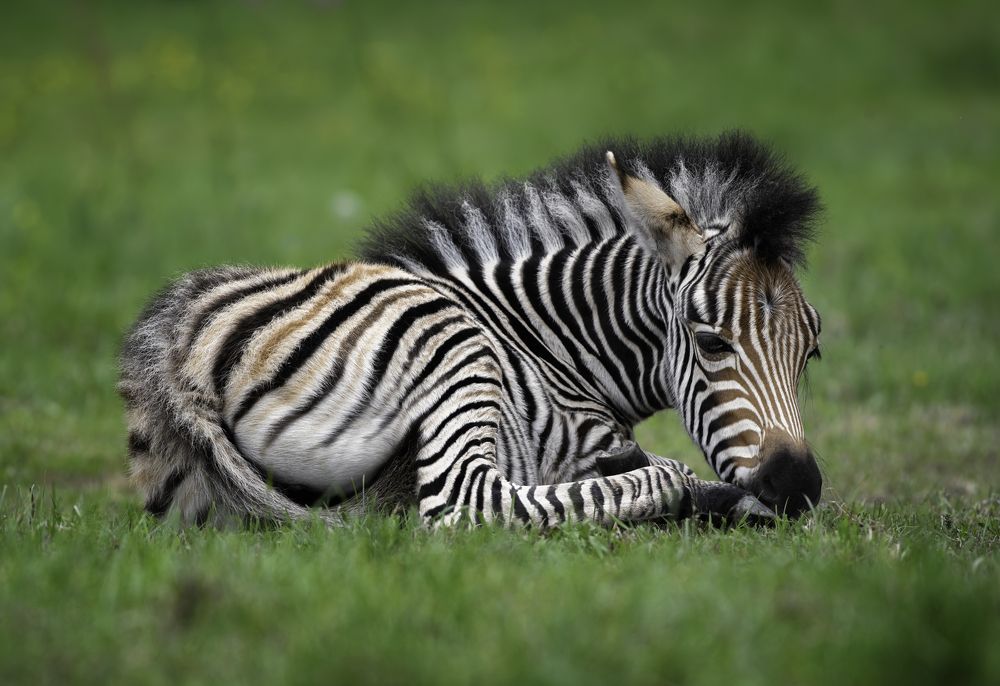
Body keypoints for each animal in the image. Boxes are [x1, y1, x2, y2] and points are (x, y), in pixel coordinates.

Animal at [118, 131, 824, 528]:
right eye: (711, 342)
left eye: (811, 354)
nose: (799, 487)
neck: (550, 344)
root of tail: (177, 348)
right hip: (450, 348)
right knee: (466, 506)